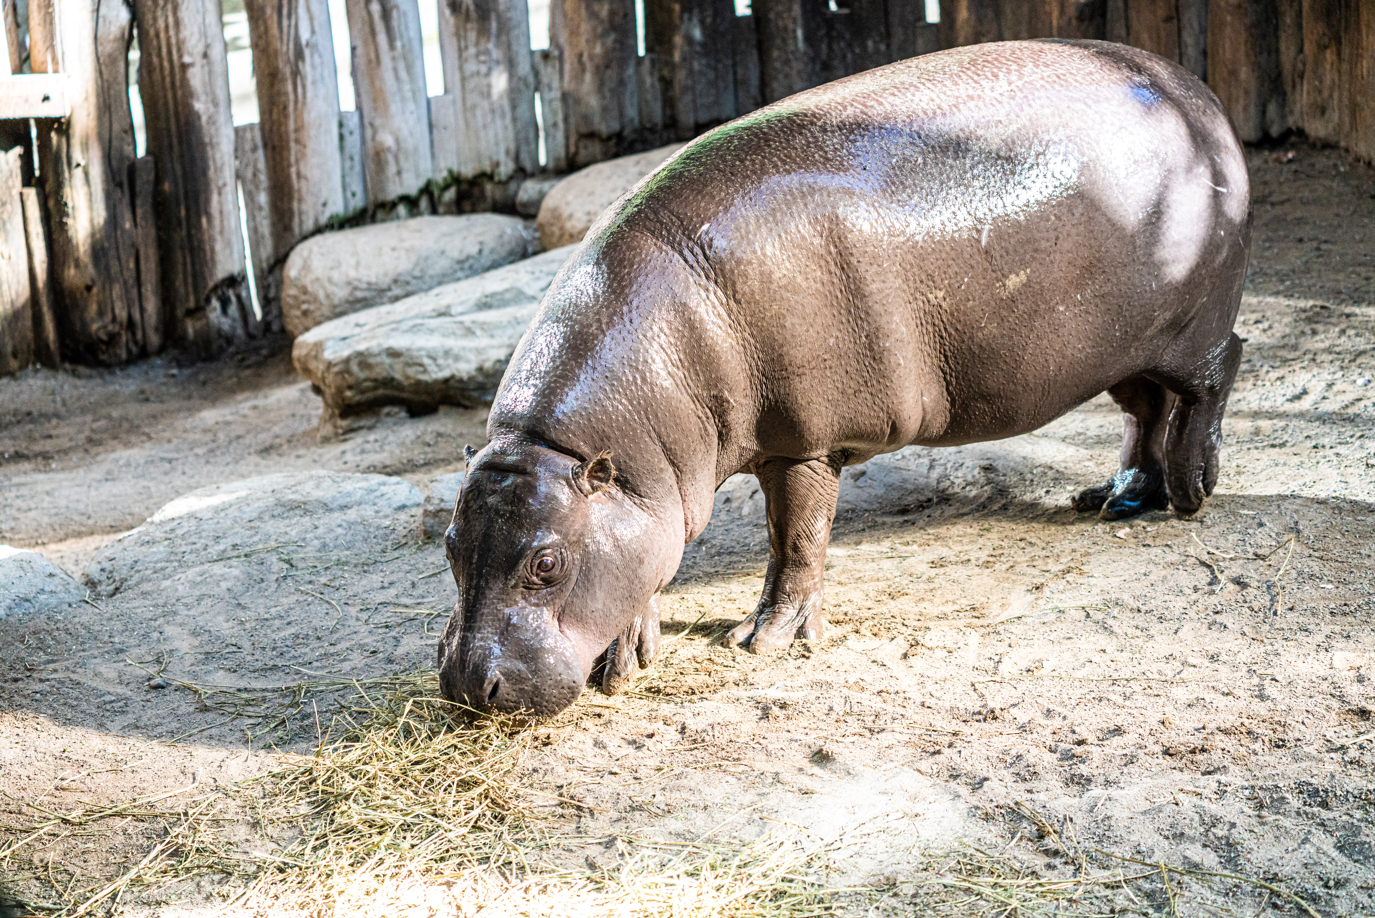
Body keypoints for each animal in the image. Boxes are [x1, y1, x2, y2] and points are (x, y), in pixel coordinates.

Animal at [438, 39, 1251, 718]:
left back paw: (1189, 492)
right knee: (1144, 409)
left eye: (545, 563)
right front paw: (628, 655)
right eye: (448, 544)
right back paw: (1117, 500)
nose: (467, 687)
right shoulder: (648, 482)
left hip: (1192, 325)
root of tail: (1193, 88)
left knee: (1212, 378)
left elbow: (796, 539)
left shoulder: (804, 442)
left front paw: (761, 641)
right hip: (1118, 349)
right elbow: (645, 556)